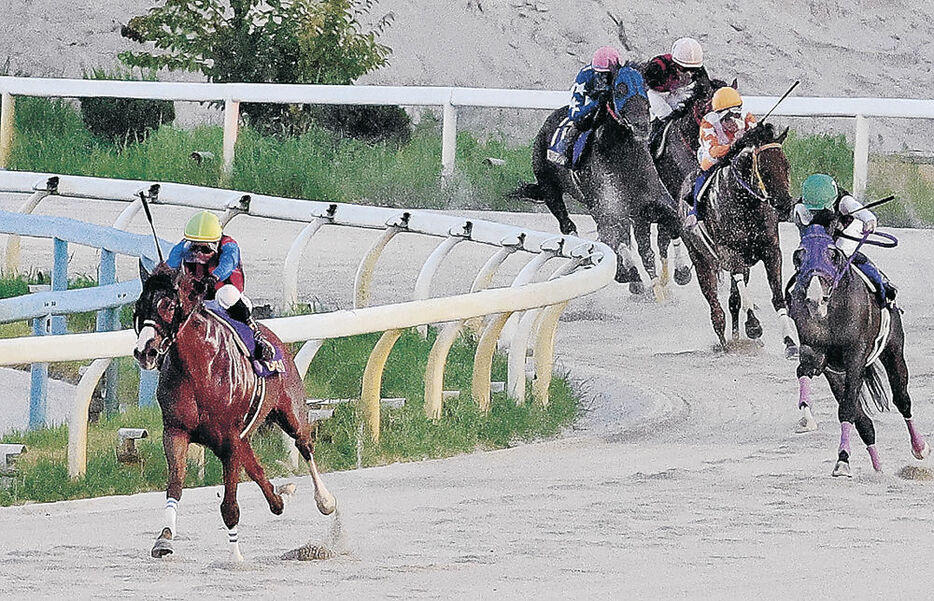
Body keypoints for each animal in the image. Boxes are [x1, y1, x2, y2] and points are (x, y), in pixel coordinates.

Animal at [132, 264, 336, 560]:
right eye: (138, 307)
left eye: (167, 305)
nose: (144, 352)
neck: (199, 369)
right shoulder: (176, 431)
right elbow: (176, 485)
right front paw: (164, 539)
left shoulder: (229, 439)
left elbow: (229, 506)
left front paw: (235, 558)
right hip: (244, 437)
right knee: (259, 472)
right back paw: (281, 496)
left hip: (291, 410)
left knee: (304, 446)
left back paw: (325, 500)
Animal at [512, 63, 688, 298]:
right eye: (619, 90)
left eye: (643, 87)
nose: (642, 125)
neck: (624, 159)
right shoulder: (608, 209)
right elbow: (615, 240)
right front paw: (629, 274)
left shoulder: (652, 202)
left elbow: (672, 226)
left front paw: (681, 272)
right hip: (550, 189)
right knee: (570, 226)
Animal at [676, 122, 800, 354]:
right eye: (764, 169)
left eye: (786, 165)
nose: (784, 204)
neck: (745, 203)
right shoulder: (730, 254)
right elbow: (742, 292)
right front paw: (753, 326)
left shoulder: (771, 251)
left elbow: (776, 297)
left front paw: (790, 342)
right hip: (700, 259)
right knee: (715, 307)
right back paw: (725, 343)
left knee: (733, 302)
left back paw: (737, 339)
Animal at [788, 223, 928, 476]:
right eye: (798, 257)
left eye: (833, 255)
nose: (815, 299)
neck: (831, 313)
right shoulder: (818, 356)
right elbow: (803, 371)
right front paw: (806, 419)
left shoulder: (855, 357)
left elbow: (847, 409)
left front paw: (843, 460)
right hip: (838, 375)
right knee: (863, 420)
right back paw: (877, 465)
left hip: (893, 350)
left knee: (902, 399)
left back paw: (919, 446)